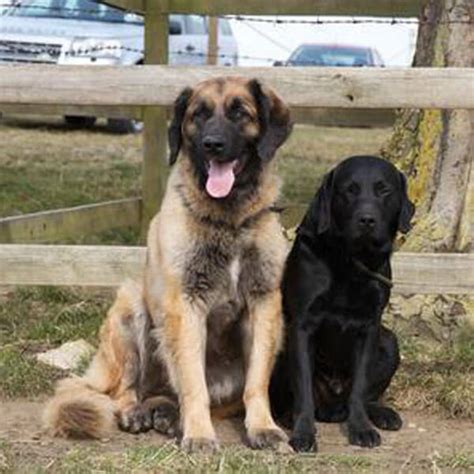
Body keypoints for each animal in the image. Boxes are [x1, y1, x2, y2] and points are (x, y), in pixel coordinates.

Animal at [45, 77, 296, 452]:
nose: (212, 144)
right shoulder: (186, 305)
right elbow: (193, 382)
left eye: (240, 113)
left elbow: (256, 382)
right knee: (124, 389)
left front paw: (262, 427)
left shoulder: (263, 304)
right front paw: (199, 434)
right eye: (198, 115)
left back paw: (167, 415)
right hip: (131, 308)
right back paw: (137, 412)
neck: (228, 221)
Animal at [270, 155, 414, 452]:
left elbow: (359, 388)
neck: (350, 263)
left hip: (389, 342)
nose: (367, 220)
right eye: (349, 190)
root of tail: (332, 406)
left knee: (361, 397)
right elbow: (303, 389)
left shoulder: (370, 327)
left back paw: (381, 414)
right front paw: (303, 434)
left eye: (384, 190)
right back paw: (291, 417)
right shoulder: (302, 326)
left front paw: (361, 429)